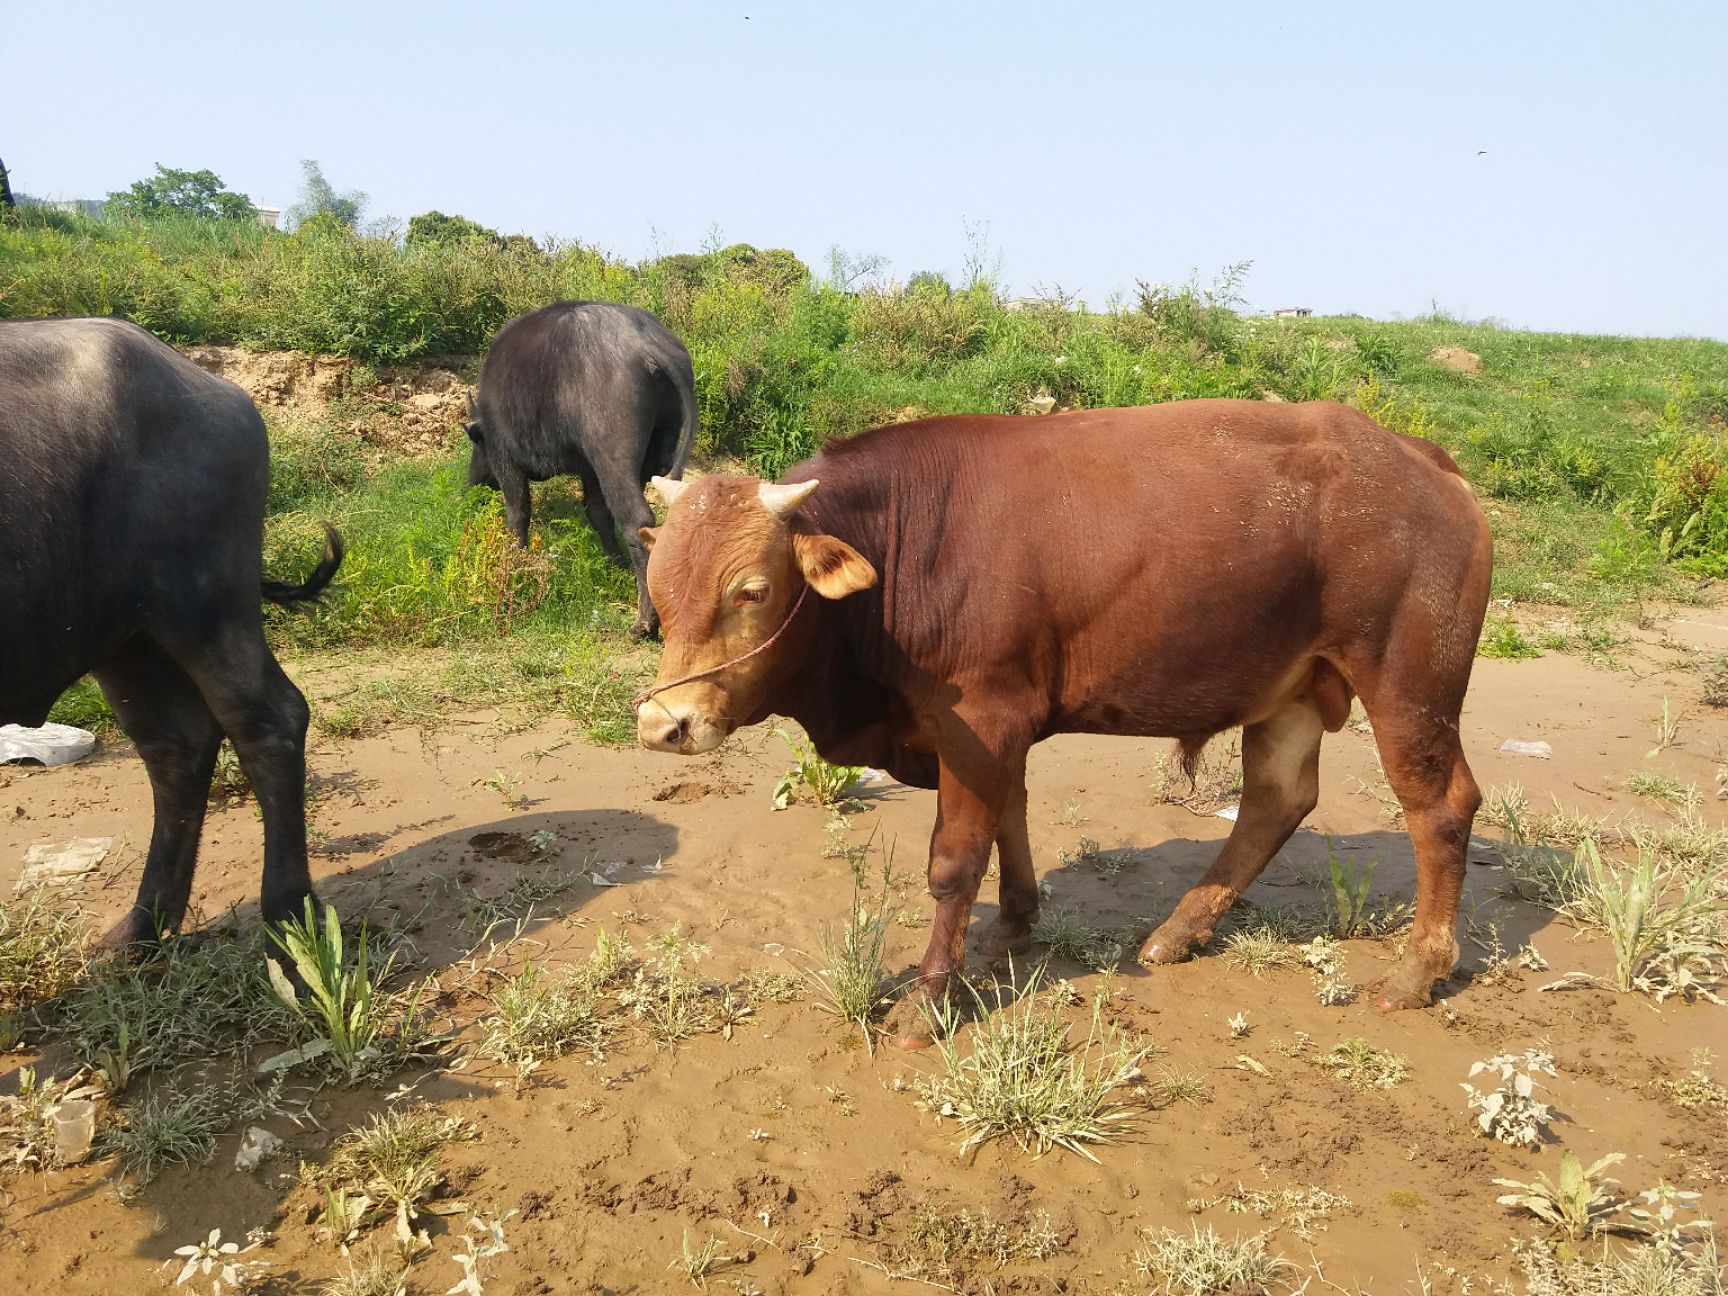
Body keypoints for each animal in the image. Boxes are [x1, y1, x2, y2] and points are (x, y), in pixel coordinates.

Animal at [0, 314, 343, 946]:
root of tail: (220, 391)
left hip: (202, 603)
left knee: (268, 719)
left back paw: (287, 916)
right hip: (127, 637)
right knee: (176, 744)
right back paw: (141, 928)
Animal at [466, 298, 701, 635]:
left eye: (475, 441)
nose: (474, 481)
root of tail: (646, 342)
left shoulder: (505, 458)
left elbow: (518, 512)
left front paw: (516, 560)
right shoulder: (589, 471)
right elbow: (597, 513)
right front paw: (614, 560)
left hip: (613, 460)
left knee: (636, 520)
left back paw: (644, 622)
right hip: (657, 450)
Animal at [635, 400, 1499, 1050]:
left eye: (752, 590)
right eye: (660, 586)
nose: (663, 723)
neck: (905, 553)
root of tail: (1420, 456)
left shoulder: (979, 716)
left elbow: (955, 861)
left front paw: (929, 1000)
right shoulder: (993, 731)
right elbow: (1010, 818)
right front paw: (1015, 923)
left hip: (1408, 684)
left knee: (1439, 807)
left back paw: (1418, 968)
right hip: (1291, 689)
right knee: (1275, 802)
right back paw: (1182, 930)